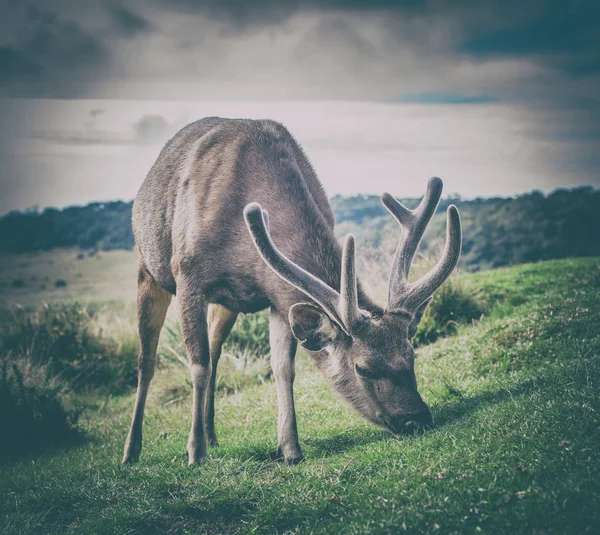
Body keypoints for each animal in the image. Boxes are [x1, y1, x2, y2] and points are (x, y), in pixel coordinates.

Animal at [120, 117, 460, 464]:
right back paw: (133, 450)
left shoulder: (277, 297)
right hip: (149, 270)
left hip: (226, 304)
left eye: (411, 353)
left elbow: (283, 368)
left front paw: (291, 448)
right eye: (362, 368)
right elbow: (197, 365)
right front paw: (195, 452)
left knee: (215, 351)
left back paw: (212, 434)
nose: (418, 419)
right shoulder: (188, 275)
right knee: (147, 361)